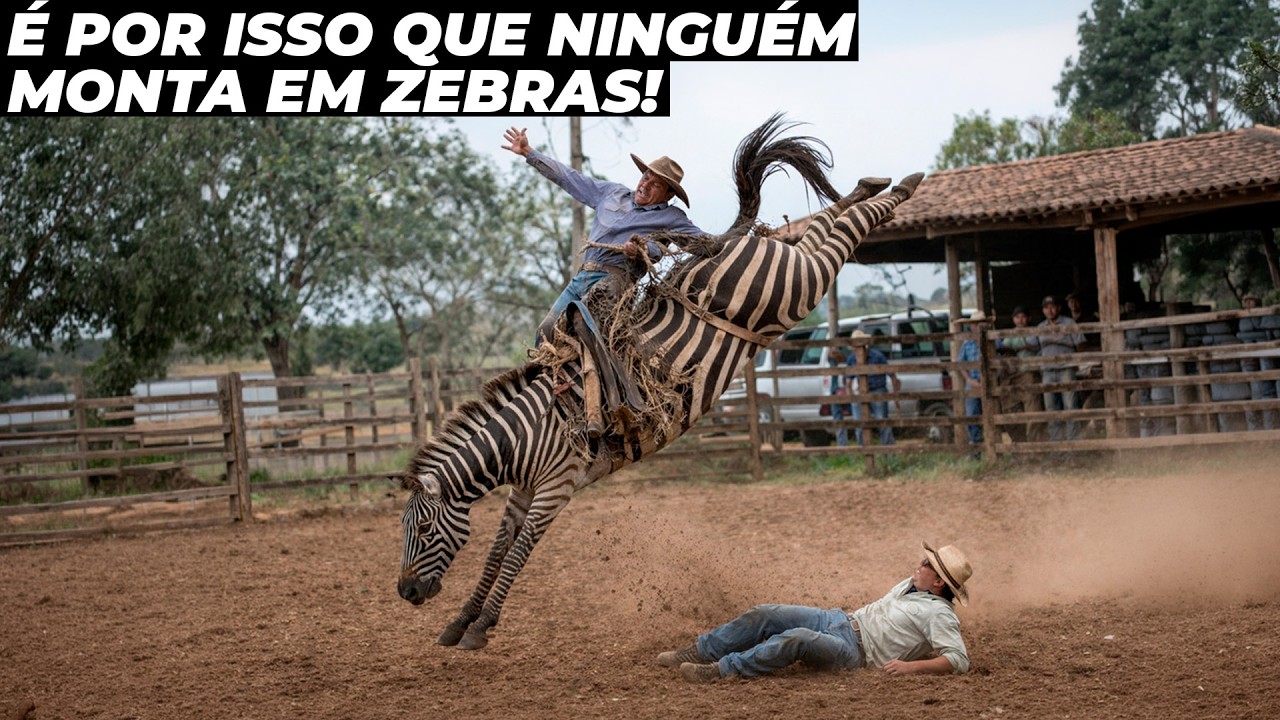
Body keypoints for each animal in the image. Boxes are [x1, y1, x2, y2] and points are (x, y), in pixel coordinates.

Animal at [398, 114, 924, 650]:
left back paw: (903, 185)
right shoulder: (522, 493)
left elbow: (518, 553)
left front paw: (481, 626)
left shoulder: (555, 488)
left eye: (422, 529)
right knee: (816, 227)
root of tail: (722, 245)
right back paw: (871, 185)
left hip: (796, 283)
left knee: (839, 236)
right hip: (788, 272)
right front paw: (461, 620)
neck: (524, 433)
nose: (406, 591)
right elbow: (498, 549)